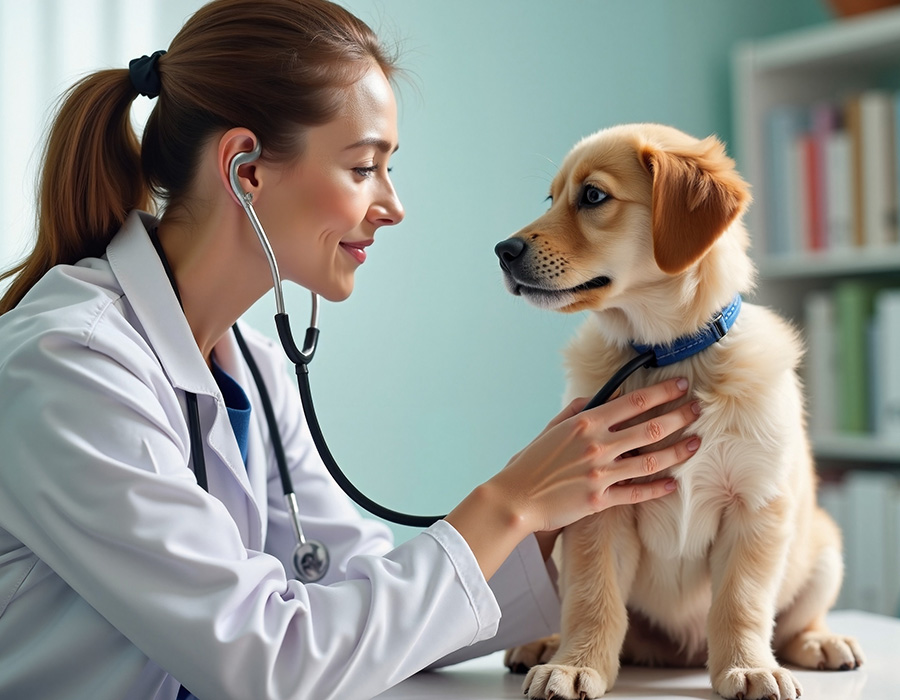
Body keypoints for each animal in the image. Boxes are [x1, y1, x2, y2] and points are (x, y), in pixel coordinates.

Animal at [500, 124, 864, 700]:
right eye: (550, 198)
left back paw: (820, 642)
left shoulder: (756, 505)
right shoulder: (598, 507)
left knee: (796, 621)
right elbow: (593, 598)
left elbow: (741, 602)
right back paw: (545, 643)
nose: (502, 250)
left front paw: (748, 667)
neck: (666, 354)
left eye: (593, 196)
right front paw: (576, 665)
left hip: (824, 547)